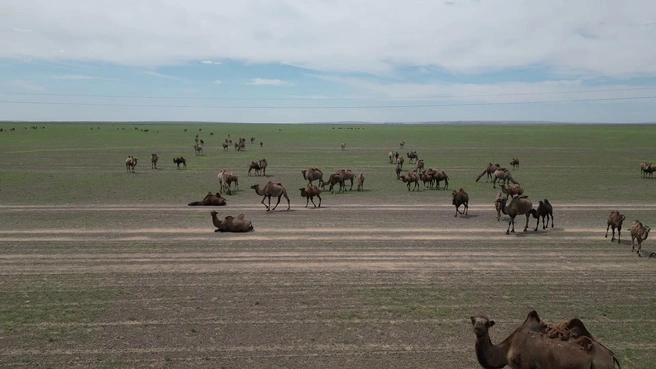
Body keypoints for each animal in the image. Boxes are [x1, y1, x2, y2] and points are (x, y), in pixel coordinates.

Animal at [472, 310, 620, 368]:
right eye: (473, 321)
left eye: (486, 323)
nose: (478, 328)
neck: (507, 349)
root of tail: (611, 356)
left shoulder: (524, 366)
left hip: (601, 365)